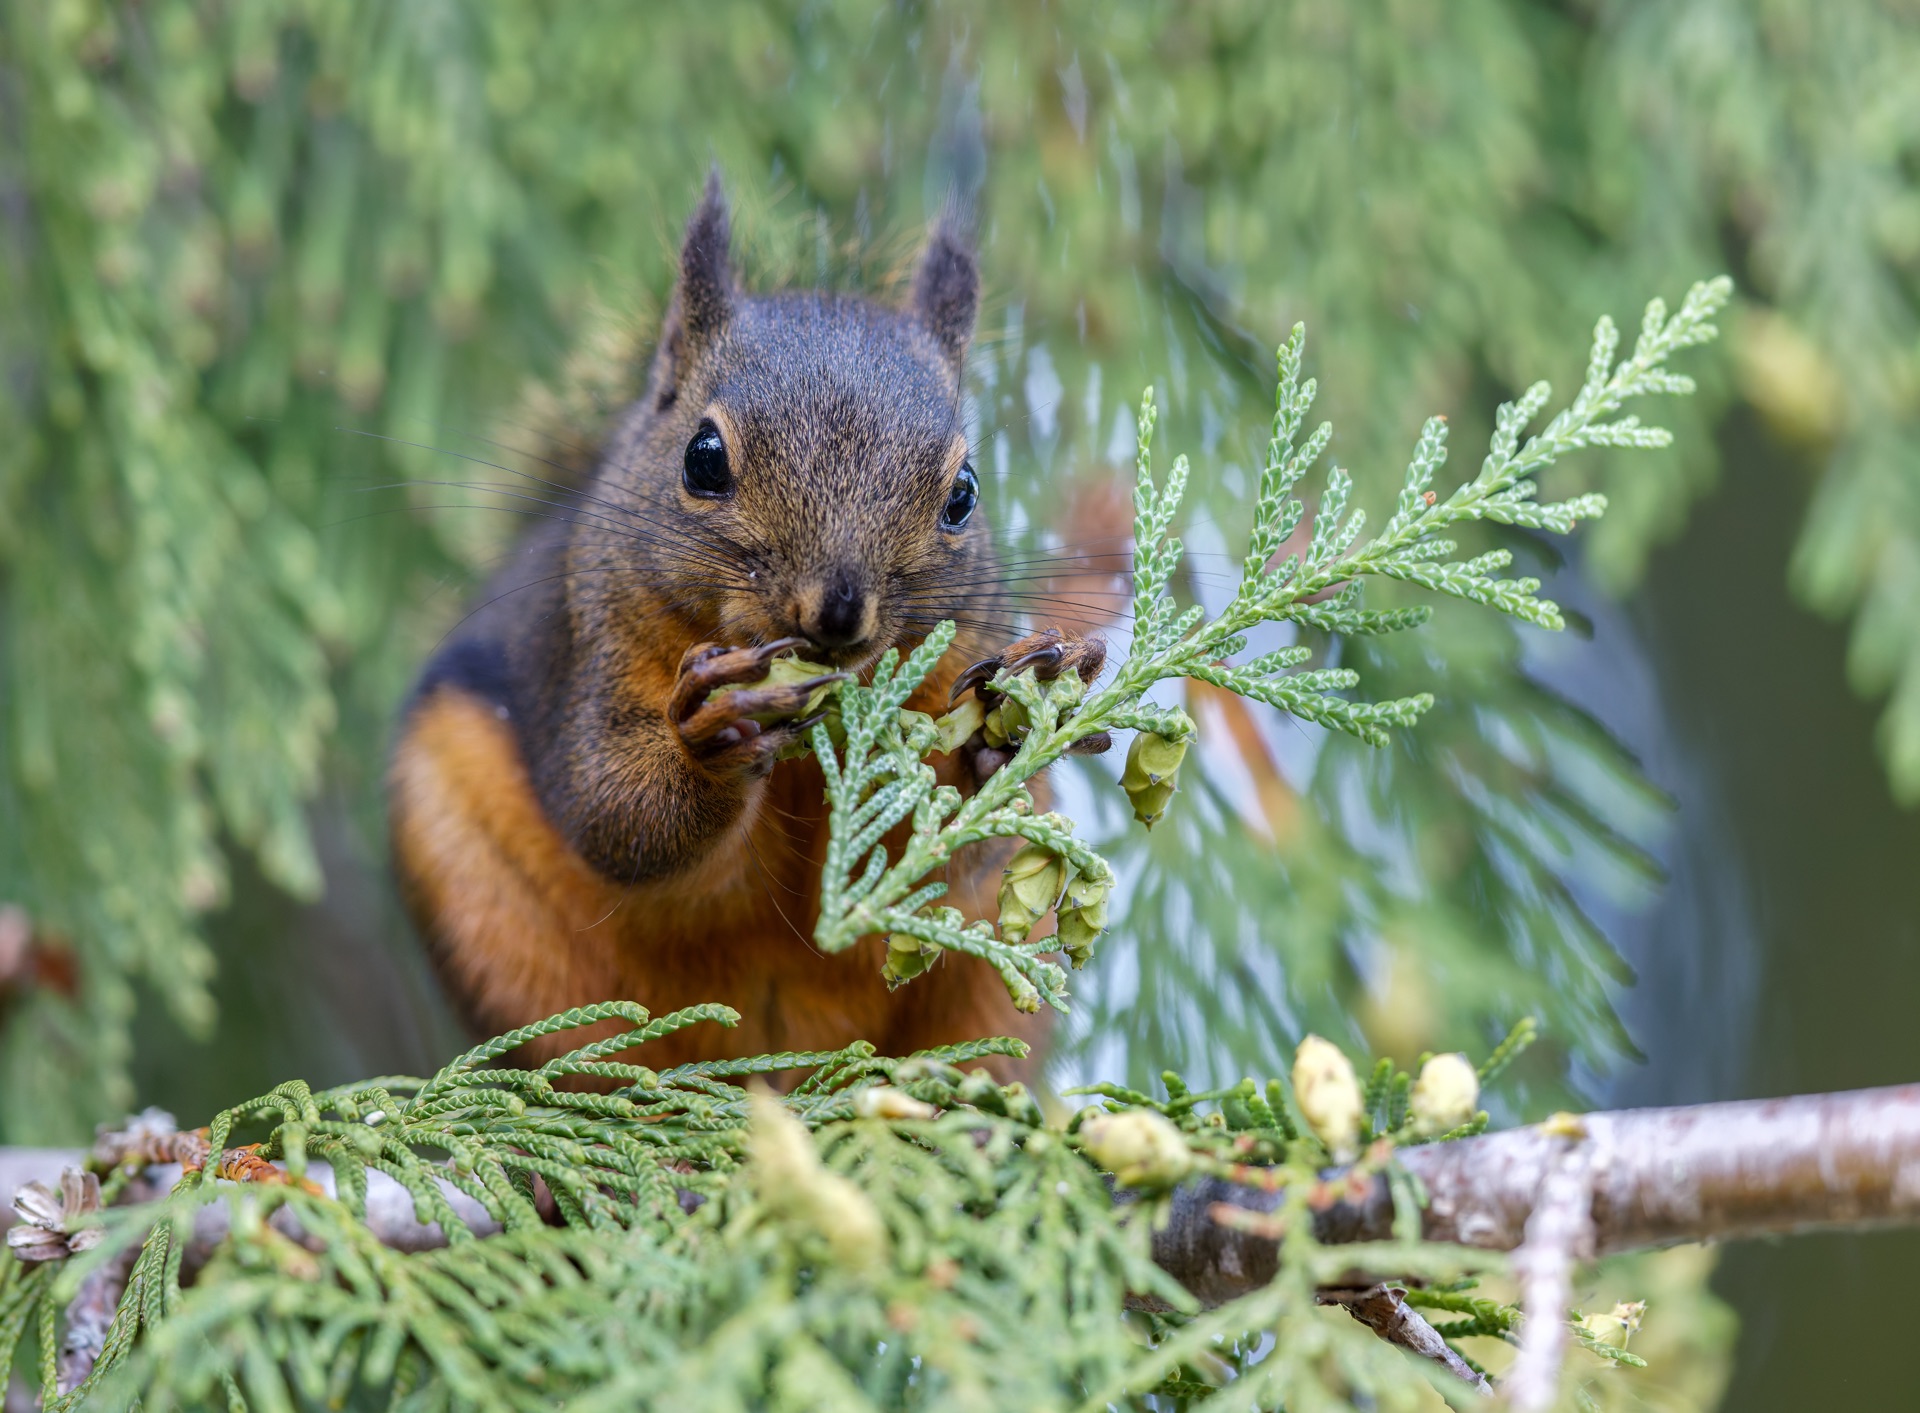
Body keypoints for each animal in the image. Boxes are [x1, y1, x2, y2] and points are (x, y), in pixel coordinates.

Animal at [387, 173, 1106, 1075]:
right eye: (702, 457)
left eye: (964, 492)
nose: (837, 612)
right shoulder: (587, 650)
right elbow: (613, 809)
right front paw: (709, 739)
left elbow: (937, 852)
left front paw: (999, 736)